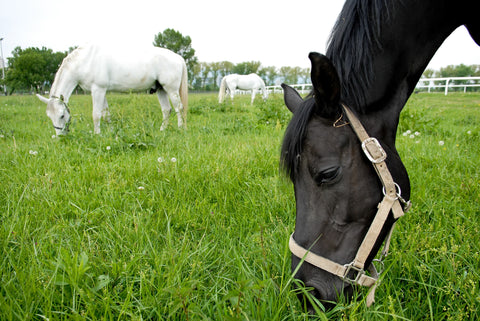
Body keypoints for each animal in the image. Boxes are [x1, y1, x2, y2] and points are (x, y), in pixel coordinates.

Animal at [36, 43, 188, 134]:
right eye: (49, 116)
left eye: (62, 115)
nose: (60, 136)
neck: (85, 61)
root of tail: (178, 58)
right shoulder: (101, 91)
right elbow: (106, 115)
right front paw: (110, 133)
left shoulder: (98, 90)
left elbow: (96, 115)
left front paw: (97, 135)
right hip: (161, 89)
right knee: (166, 110)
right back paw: (162, 130)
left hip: (171, 89)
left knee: (179, 108)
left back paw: (180, 129)